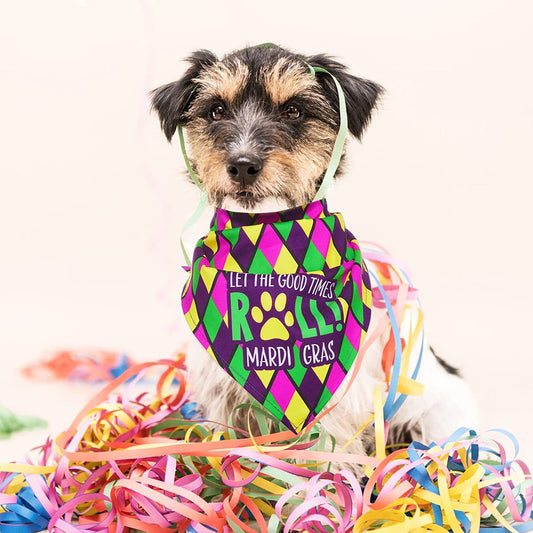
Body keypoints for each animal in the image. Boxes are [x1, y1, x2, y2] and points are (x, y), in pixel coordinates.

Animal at [151, 43, 478, 470]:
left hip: (436, 415)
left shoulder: (339, 400)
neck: (268, 246)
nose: (242, 164)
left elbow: (329, 449)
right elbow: (223, 438)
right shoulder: (221, 393)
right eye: (216, 110)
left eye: (294, 111)